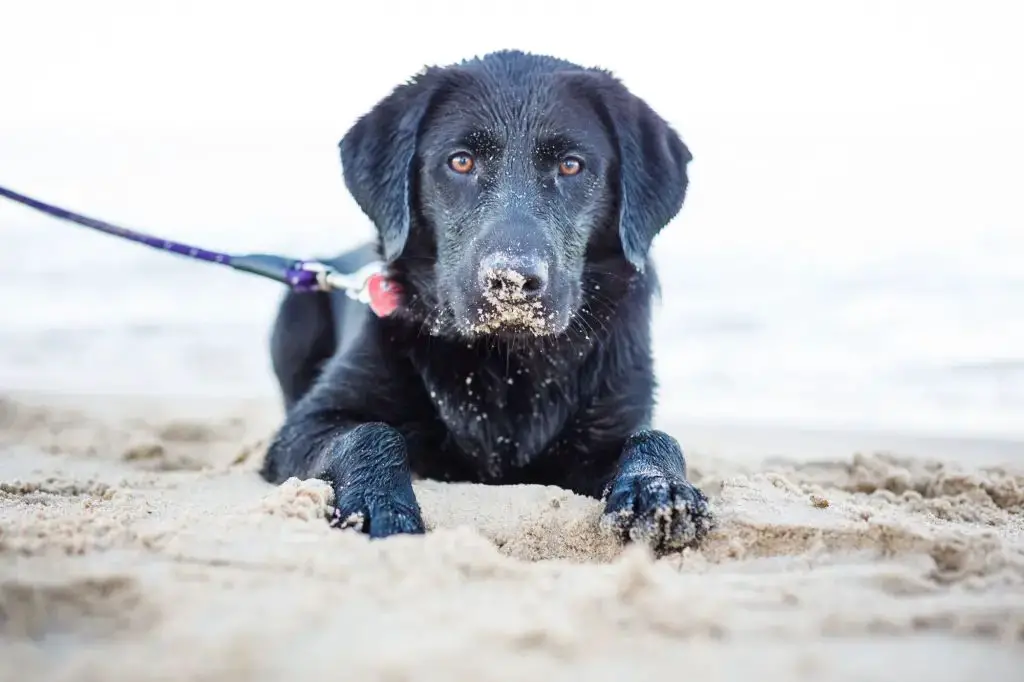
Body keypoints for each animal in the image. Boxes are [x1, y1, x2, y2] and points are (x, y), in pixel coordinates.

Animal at [260, 50, 716, 548]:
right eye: (461, 161)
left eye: (571, 166)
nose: (512, 281)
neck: (508, 362)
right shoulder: (305, 425)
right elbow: (370, 432)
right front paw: (381, 505)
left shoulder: (609, 425)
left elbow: (655, 437)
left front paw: (660, 490)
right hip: (294, 315)